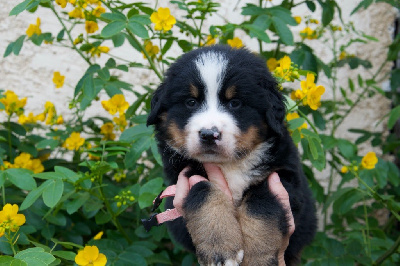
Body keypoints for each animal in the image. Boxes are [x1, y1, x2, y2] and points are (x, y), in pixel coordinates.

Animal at [145, 44, 318, 264]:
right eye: (191, 102)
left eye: (235, 103)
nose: (209, 134)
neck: (230, 164)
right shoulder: (183, 175)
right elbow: (204, 193)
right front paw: (219, 247)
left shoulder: (283, 177)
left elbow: (261, 205)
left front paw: (258, 258)